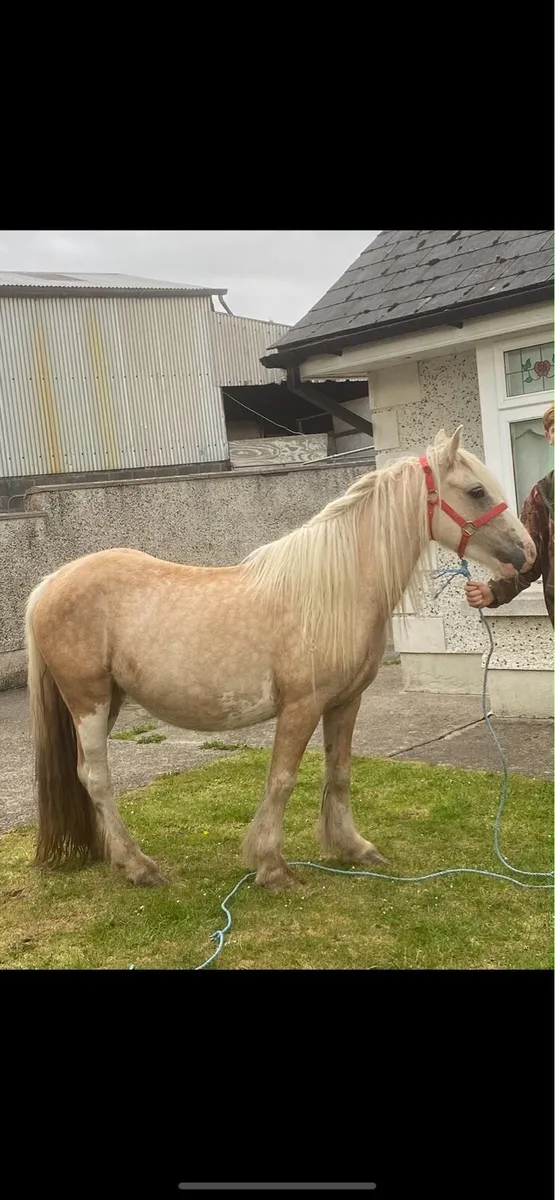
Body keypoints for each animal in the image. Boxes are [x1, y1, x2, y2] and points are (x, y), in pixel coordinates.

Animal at [25, 426, 535, 891]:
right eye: (475, 491)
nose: (528, 551)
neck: (333, 591)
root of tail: (49, 584)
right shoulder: (301, 707)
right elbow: (282, 779)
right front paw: (271, 867)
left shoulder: (345, 703)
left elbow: (339, 771)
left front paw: (352, 847)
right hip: (89, 701)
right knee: (97, 776)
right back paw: (138, 866)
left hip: (108, 700)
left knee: (85, 775)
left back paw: (110, 855)